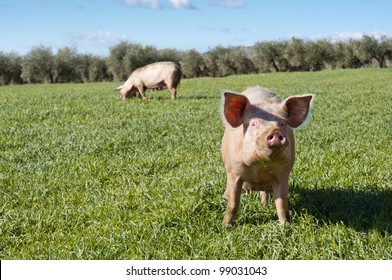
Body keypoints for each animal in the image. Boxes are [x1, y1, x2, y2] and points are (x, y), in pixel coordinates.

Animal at [220, 86, 316, 225]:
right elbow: (233, 204)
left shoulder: (283, 174)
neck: (259, 168)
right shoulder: (234, 171)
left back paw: (264, 205)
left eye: (282, 124)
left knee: (264, 192)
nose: (275, 131)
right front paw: (225, 226)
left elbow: (282, 205)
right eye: (253, 124)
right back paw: (224, 197)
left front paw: (285, 225)